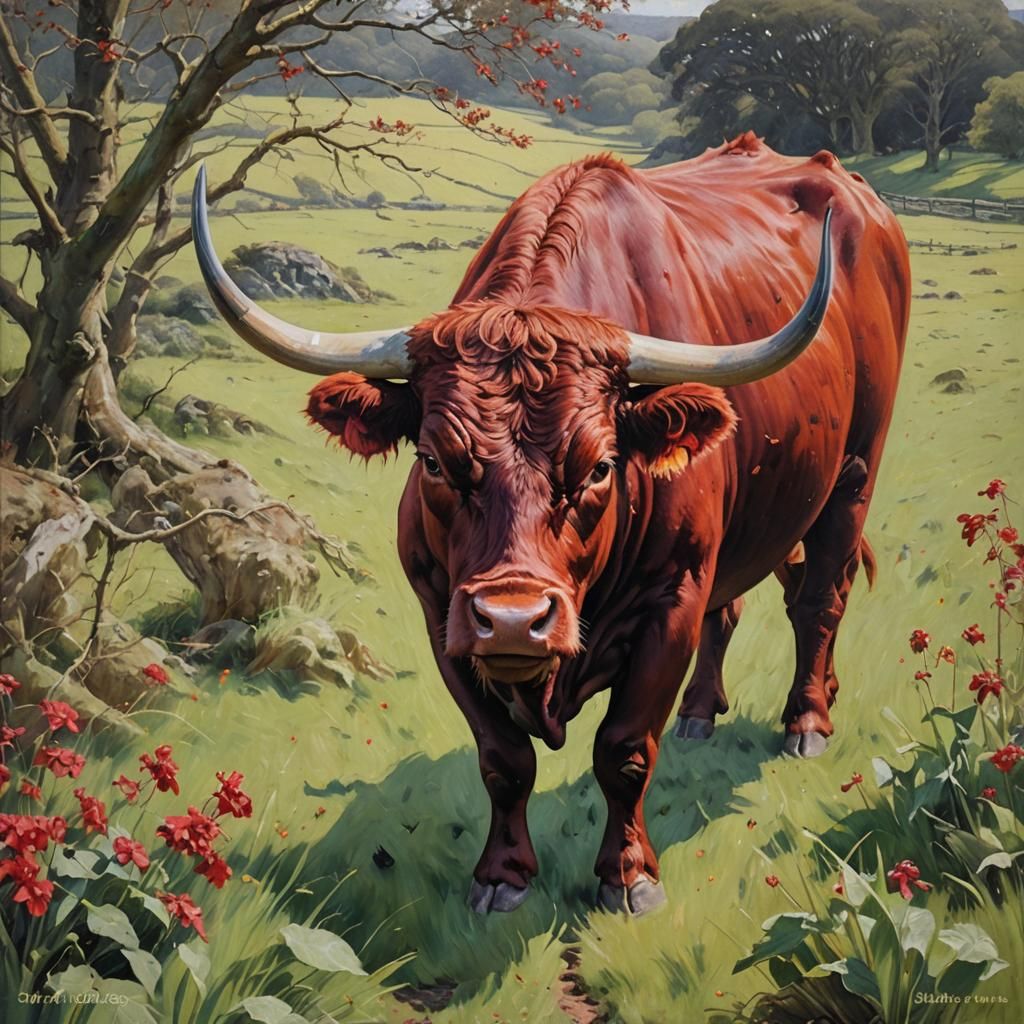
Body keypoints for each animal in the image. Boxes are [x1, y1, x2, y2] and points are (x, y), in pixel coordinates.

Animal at [192, 133, 910, 916]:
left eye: (600, 467)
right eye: (436, 461)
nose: (512, 620)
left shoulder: (672, 600)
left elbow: (624, 749)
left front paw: (628, 875)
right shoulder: (443, 613)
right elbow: (504, 759)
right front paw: (502, 875)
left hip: (854, 475)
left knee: (820, 599)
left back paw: (808, 718)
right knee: (742, 606)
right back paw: (701, 713)